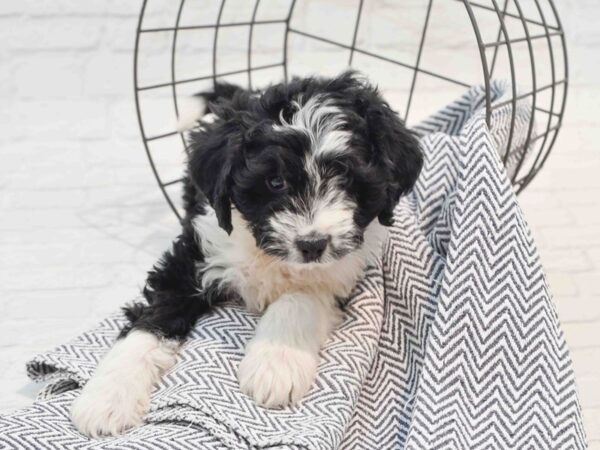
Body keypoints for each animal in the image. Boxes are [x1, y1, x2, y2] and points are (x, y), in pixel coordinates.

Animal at [70, 71, 424, 436]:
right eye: (275, 182)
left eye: (347, 178)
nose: (311, 244)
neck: (265, 252)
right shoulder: (193, 256)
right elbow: (150, 323)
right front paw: (107, 399)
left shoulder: (339, 268)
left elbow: (300, 296)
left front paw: (276, 363)